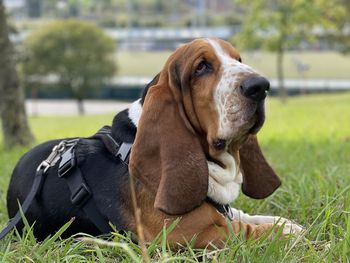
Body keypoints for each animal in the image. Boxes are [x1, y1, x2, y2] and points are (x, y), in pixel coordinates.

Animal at [5, 38, 302, 249]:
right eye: (201, 67)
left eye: (238, 59)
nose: (261, 85)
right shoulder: (187, 232)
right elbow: (247, 230)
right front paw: (289, 232)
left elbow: (241, 216)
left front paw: (287, 223)